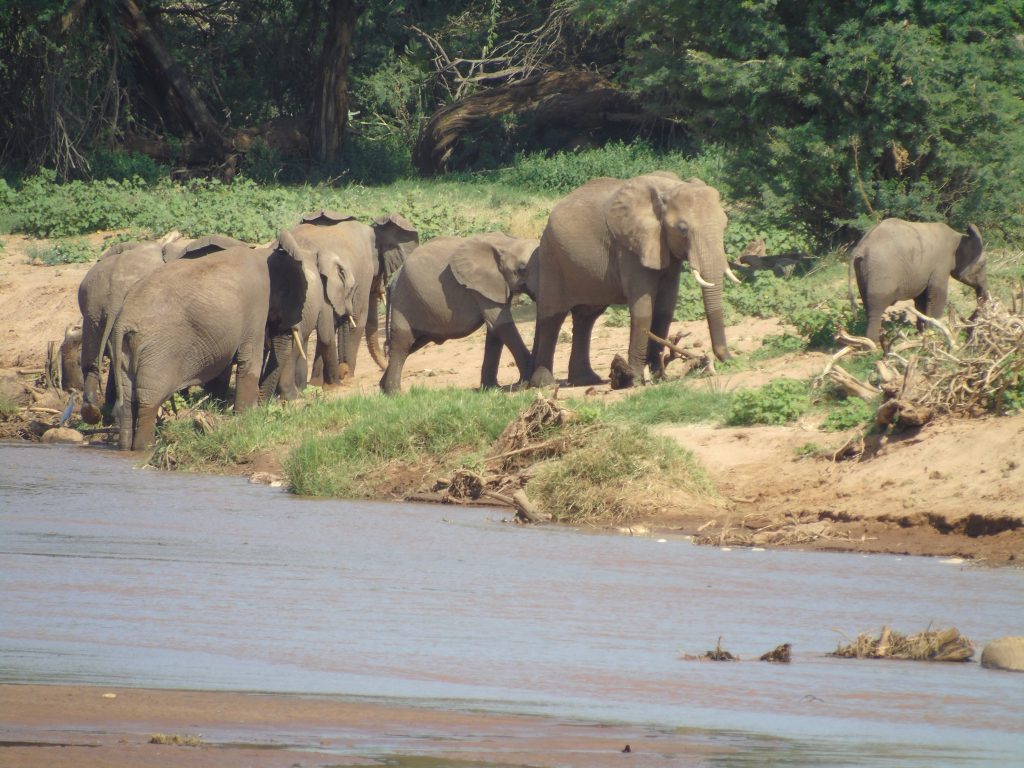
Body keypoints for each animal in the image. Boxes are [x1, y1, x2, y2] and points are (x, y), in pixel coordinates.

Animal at [111, 241, 305, 450]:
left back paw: (125, 448)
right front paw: (247, 416)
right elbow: (250, 359)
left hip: (126, 349)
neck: (263, 254)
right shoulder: (256, 305)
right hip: (158, 350)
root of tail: (124, 319)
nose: (264, 406)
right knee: (150, 397)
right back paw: (146, 447)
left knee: (128, 398)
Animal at [380, 231, 540, 393]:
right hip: (402, 299)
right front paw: (524, 383)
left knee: (414, 342)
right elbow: (500, 324)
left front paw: (492, 388)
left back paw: (383, 388)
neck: (507, 242)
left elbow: (494, 331)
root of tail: (391, 281)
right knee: (403, 341)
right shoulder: (478, 286)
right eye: (522, 269)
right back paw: (395, 394)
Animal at [847, 219, 983, 346]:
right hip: (880, 272)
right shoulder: (941, 265)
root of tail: (860, 247)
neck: (958, 236)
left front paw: (921, 335)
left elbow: (921, 300)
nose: (970, 319)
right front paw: (933, 336)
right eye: (981, 266)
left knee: (868, 306)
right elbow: (937, 296)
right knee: (875, 310)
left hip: (862, 272)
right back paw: (873, 347)